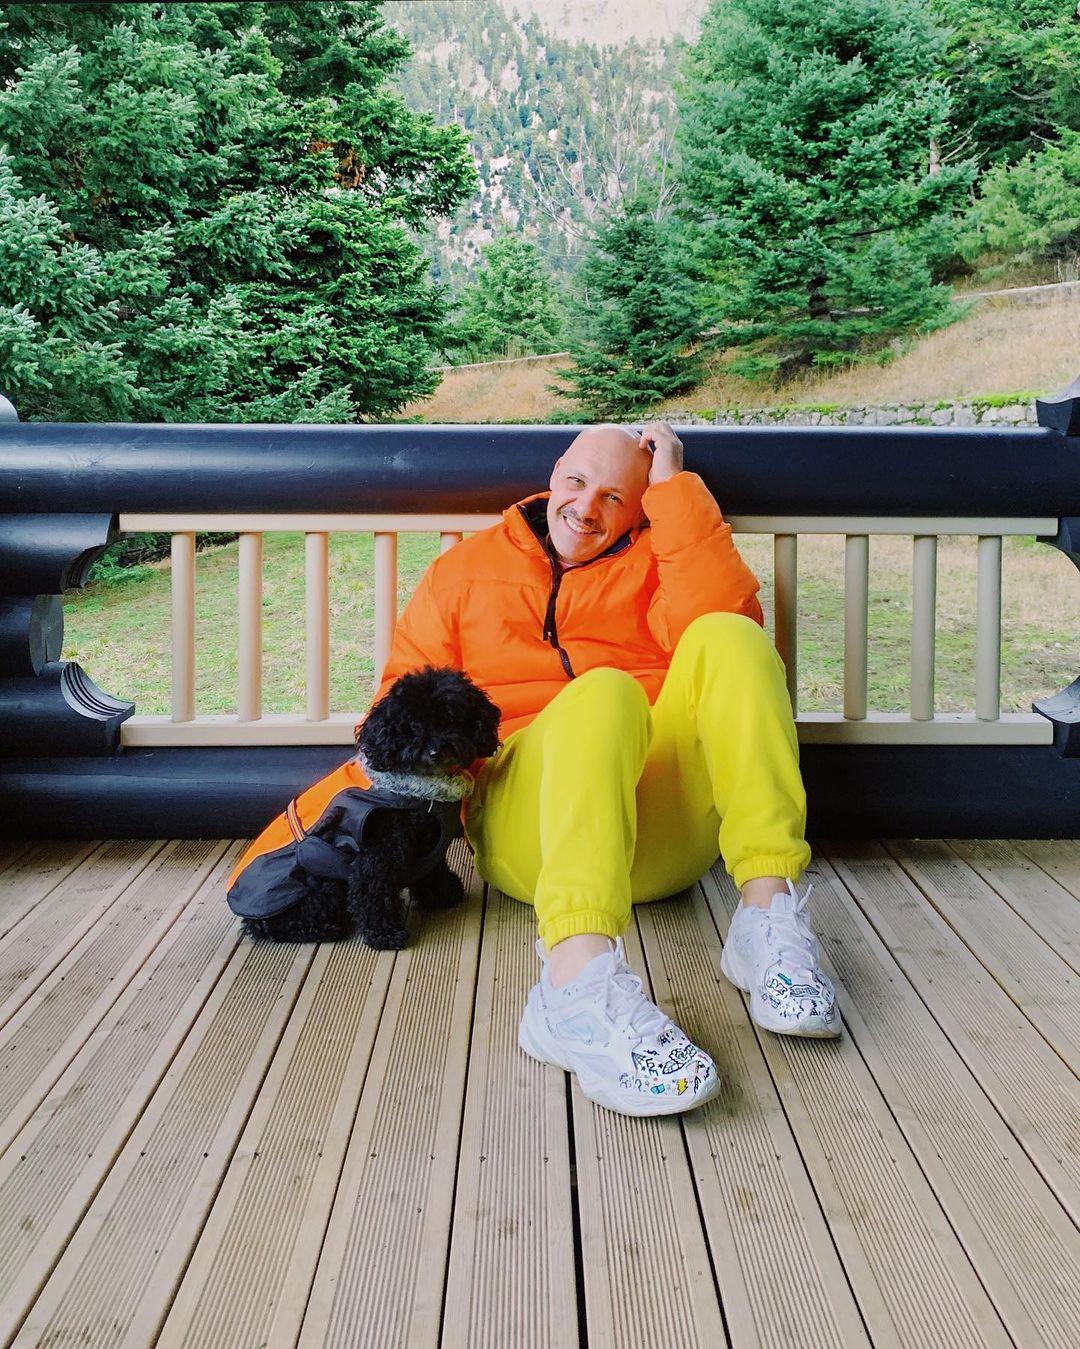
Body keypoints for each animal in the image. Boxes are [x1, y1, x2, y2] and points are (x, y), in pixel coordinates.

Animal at [238, 666, 501, 949]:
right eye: (412, 726)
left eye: (451, 717)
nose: (436, 751)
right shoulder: (379, 853)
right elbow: (375, 890)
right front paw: (385, 933)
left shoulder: (426, 842)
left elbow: (433, 869)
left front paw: (442, 894)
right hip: (322, 884)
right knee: (276, 925)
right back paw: (321, 929)